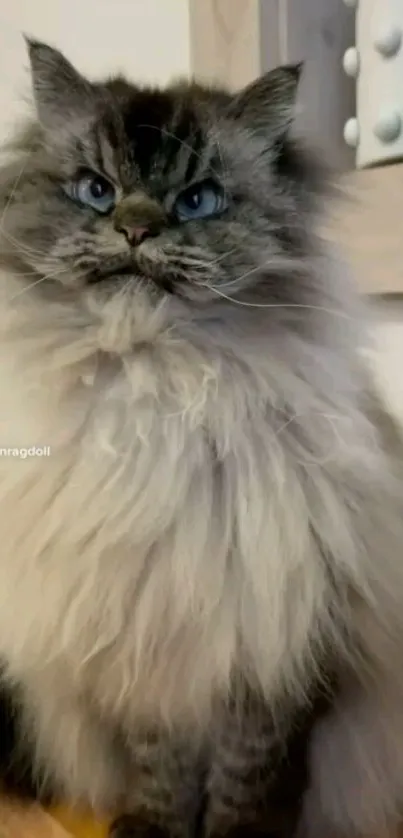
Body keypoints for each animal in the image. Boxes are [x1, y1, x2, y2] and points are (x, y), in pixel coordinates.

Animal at [0, 37, 403, 838]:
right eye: (95, 189)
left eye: (197, 201)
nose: (135, 227)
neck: (159, 398)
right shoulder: (148, 652)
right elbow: (163, 771)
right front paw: (155, 827)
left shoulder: (276, 659)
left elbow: (248, 781)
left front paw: (235, 836)